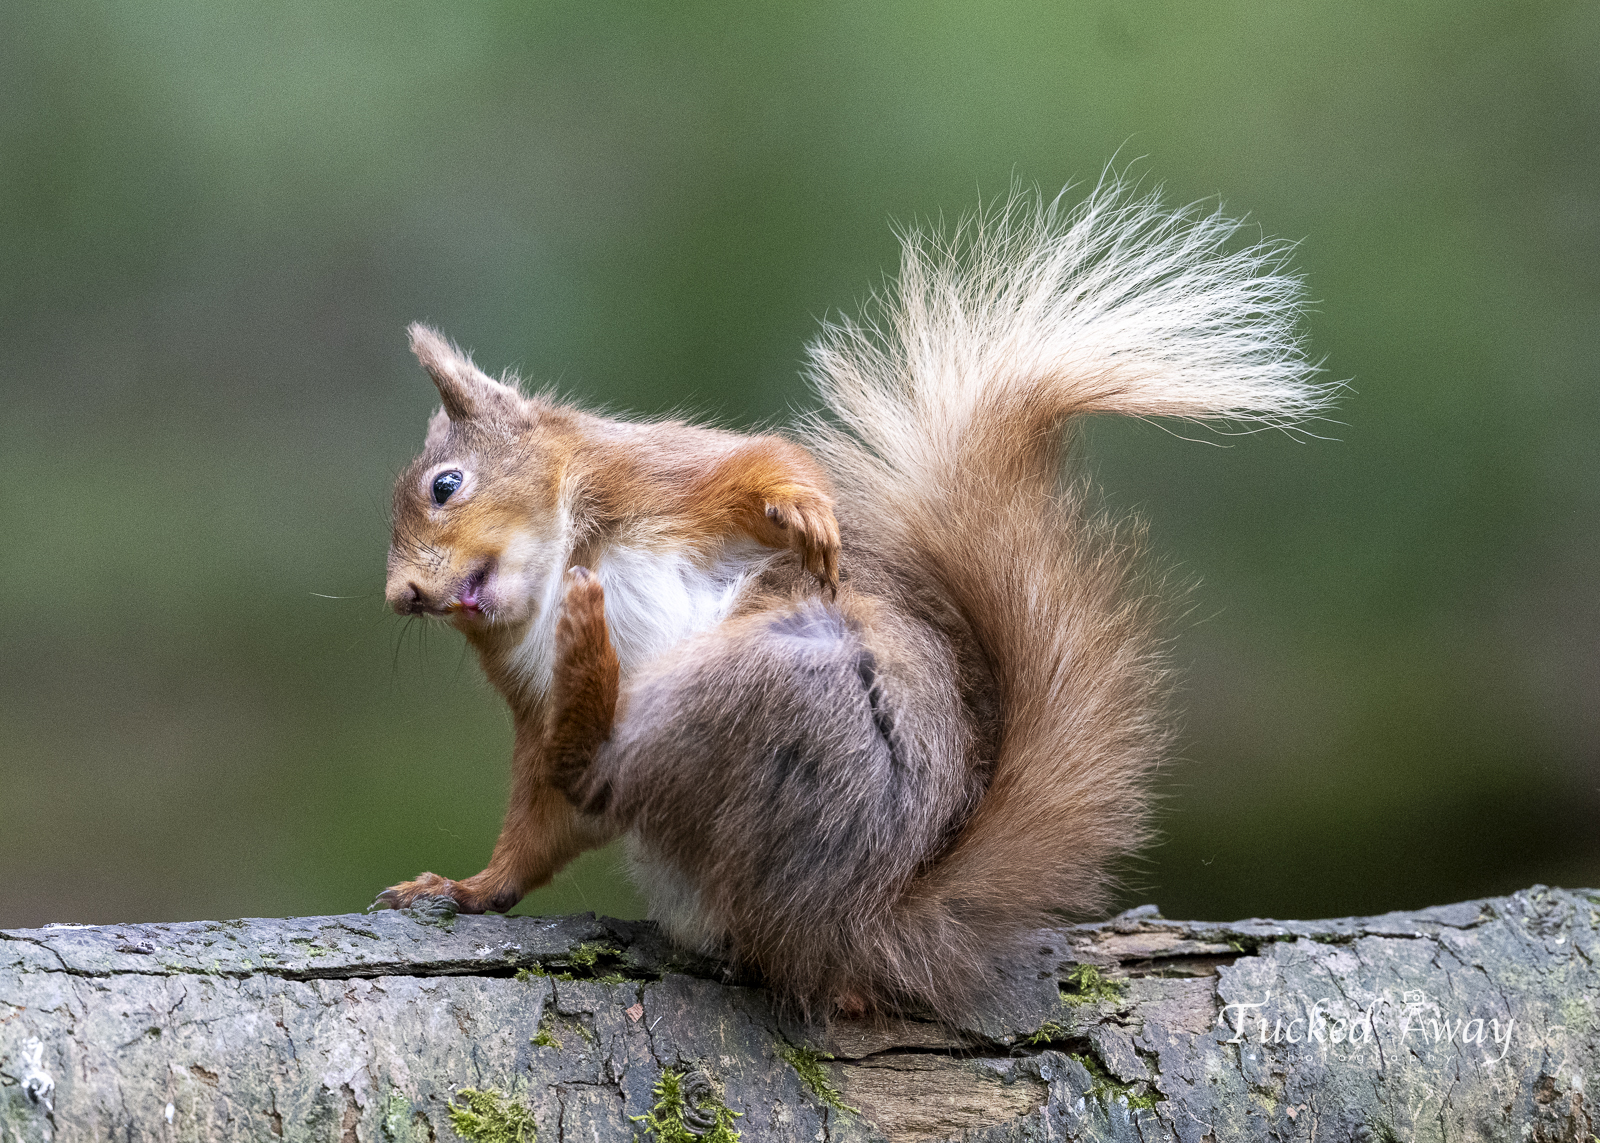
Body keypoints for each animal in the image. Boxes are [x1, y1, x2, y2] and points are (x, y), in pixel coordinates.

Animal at [374, 181, 1327, 1020]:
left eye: (446, 485)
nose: (402, 595)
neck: (573, 548)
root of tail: (852, 925)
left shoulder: (664, 476)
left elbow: (761, 464)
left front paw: (806, 510)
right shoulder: (525, 692)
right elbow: (539, 819)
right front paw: (466, 886)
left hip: (780, 683)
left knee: (603, 770)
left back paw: (588, 638)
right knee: (589, 777)